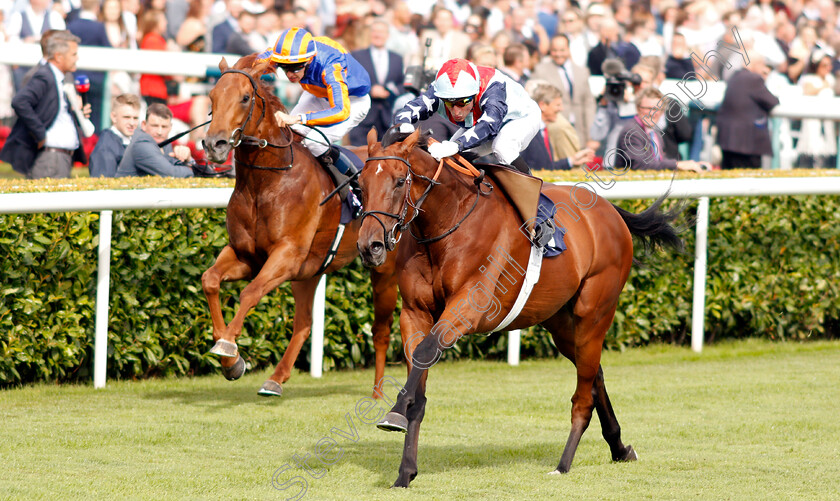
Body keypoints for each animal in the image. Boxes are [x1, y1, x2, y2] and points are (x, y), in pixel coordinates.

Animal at [203, 53, 400, 398]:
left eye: (245, 97)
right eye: (212, 97)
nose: (215, 144)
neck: (267, 182)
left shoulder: (287, 255)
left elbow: (250, 293)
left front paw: (227, 346)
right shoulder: (247, 255)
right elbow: (210, 280)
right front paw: (232, 362)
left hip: (384, 268)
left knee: (383, 329)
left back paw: (379, 391)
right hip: (311, 271)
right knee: (304, 323)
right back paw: (275, 378)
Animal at [356, 127, 684, 486]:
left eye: (400, 181)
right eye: (360, 184)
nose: (369, 246)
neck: (446, 222)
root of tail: (611, 212)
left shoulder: (467, 309)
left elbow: (426, 351)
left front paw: (395, 411)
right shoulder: (414, 313)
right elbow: (420, 368)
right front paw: (405, 470)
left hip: (595, 314)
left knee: (583, 396)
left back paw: (564, 463)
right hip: (561, 324)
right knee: (594, 373)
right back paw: (619, 447)